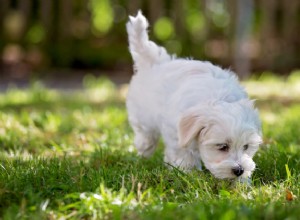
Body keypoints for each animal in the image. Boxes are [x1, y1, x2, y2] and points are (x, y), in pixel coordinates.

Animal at [125, 11, 262, 180]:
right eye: (222, 147)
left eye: (246, 146)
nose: (239, 170)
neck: (218, 98)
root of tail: (155, 62)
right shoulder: (176, 133)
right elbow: (183, 152)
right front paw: (188, 173)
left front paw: (241, 183)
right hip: (143, 116)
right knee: (146, 137)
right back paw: (143, 154)